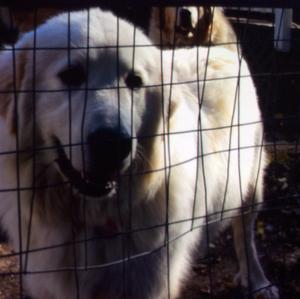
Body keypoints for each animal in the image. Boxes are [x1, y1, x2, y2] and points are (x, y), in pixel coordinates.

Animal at [0, 8, 276, 298]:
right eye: (72, 75)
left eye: (134, 82)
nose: (112, 144)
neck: (92, 218)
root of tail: (216, 50)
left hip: (251, 187)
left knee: (245, 236)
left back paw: (258, 281)